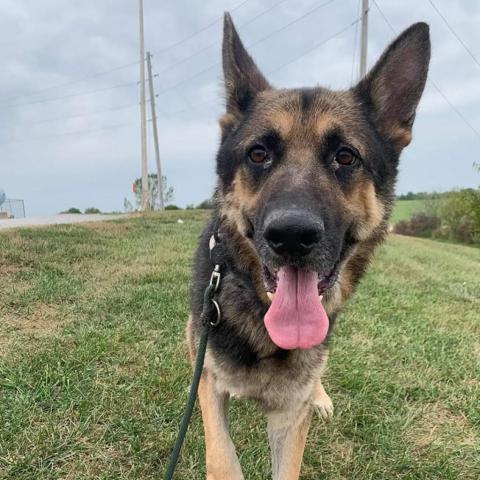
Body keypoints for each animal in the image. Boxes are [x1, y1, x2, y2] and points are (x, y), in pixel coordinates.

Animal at [188, 12, 432, 480]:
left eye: (346, 156)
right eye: (258, 154)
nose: (291, 235)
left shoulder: (289, 417)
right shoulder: (207, 381)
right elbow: (222, 456)